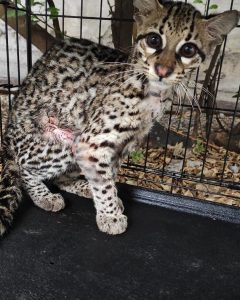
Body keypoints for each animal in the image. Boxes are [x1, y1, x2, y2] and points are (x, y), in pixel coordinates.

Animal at [0, 0, 239, 234]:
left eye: (188, 49)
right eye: (154, 40)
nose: (162, 70)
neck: (153, 95)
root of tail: (8, 129)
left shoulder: (125, 143)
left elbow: (109, 176)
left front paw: (110, 203)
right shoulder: (92, 142)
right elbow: (103, 182)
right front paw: (111, 216)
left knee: (61, 177)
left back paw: (83, 186)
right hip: (60, 141)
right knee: (24, 168)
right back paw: (44, 196)